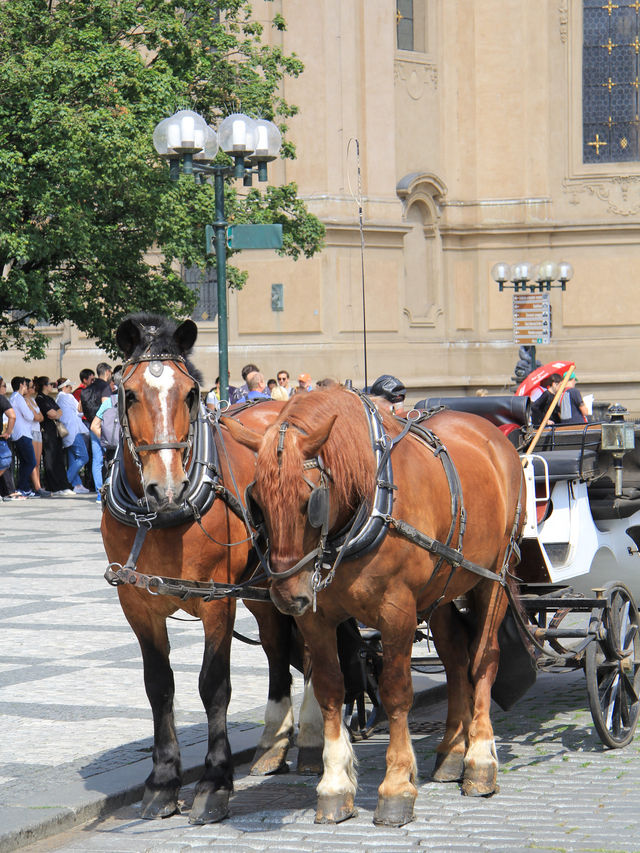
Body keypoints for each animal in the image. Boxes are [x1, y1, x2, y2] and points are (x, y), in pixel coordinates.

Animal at [100, 314, 322, 824]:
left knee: (314, 648)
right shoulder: (135, 603)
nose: (166, 487)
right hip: (265, 588)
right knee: (276, 647)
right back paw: (273, 743)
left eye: (190, 394)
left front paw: (214, 782)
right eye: (129, 394)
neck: (159, 518)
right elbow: (159, 686)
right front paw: (163, 781)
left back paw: (313, 737)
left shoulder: (217, 599)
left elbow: (213, 685)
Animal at [225, 386, 524, 824]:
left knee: (483, 658)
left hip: (492, 578)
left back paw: (479, 760)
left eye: (310, 500)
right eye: (256, 501)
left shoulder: (397, 611)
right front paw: (334, 785)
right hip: (442, 588)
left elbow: (397, 692)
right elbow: (331, 689)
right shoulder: (317, 618)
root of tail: (493, 434)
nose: (286, 596)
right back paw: (453, 751)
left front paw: (396, 786)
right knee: (455, 660)